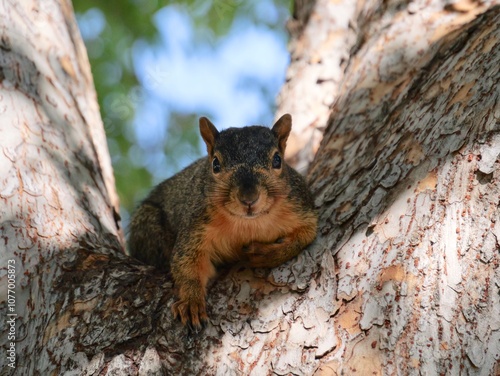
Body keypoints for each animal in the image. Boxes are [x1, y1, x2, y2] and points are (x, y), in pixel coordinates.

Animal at [128, 114, 316, 328]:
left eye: (277, 160)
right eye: (215, 164)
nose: (249, 198)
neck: (248, 223)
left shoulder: (300, 208)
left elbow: (306, 235)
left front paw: (267, 254)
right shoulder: (195, 226)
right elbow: (186, 263)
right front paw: (191, 301)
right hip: (147, 223)